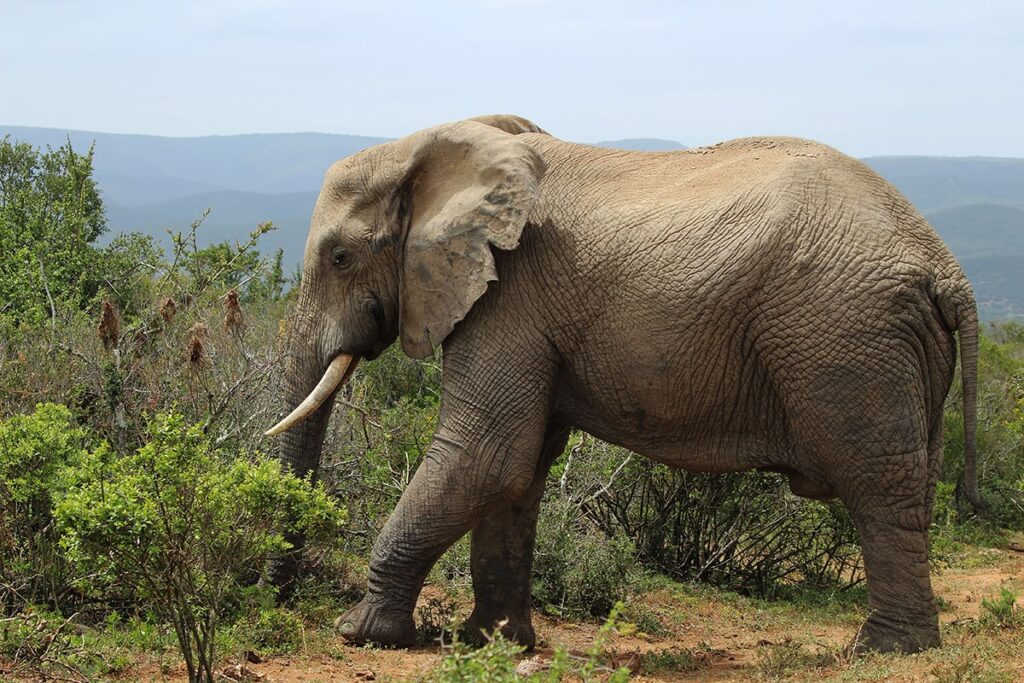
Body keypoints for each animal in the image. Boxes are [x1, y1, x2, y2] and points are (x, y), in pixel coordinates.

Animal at [264, 114, 983, 655]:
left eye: (339, 258)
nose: (283, 594)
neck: (437, 145)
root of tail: (946, 267)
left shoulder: (510, 295)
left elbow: (487, 454)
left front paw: (361, 632)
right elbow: (519, 471)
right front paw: (492, 644)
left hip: (848, 337)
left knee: (877, 483)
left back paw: (883, 650)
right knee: (909, 485)